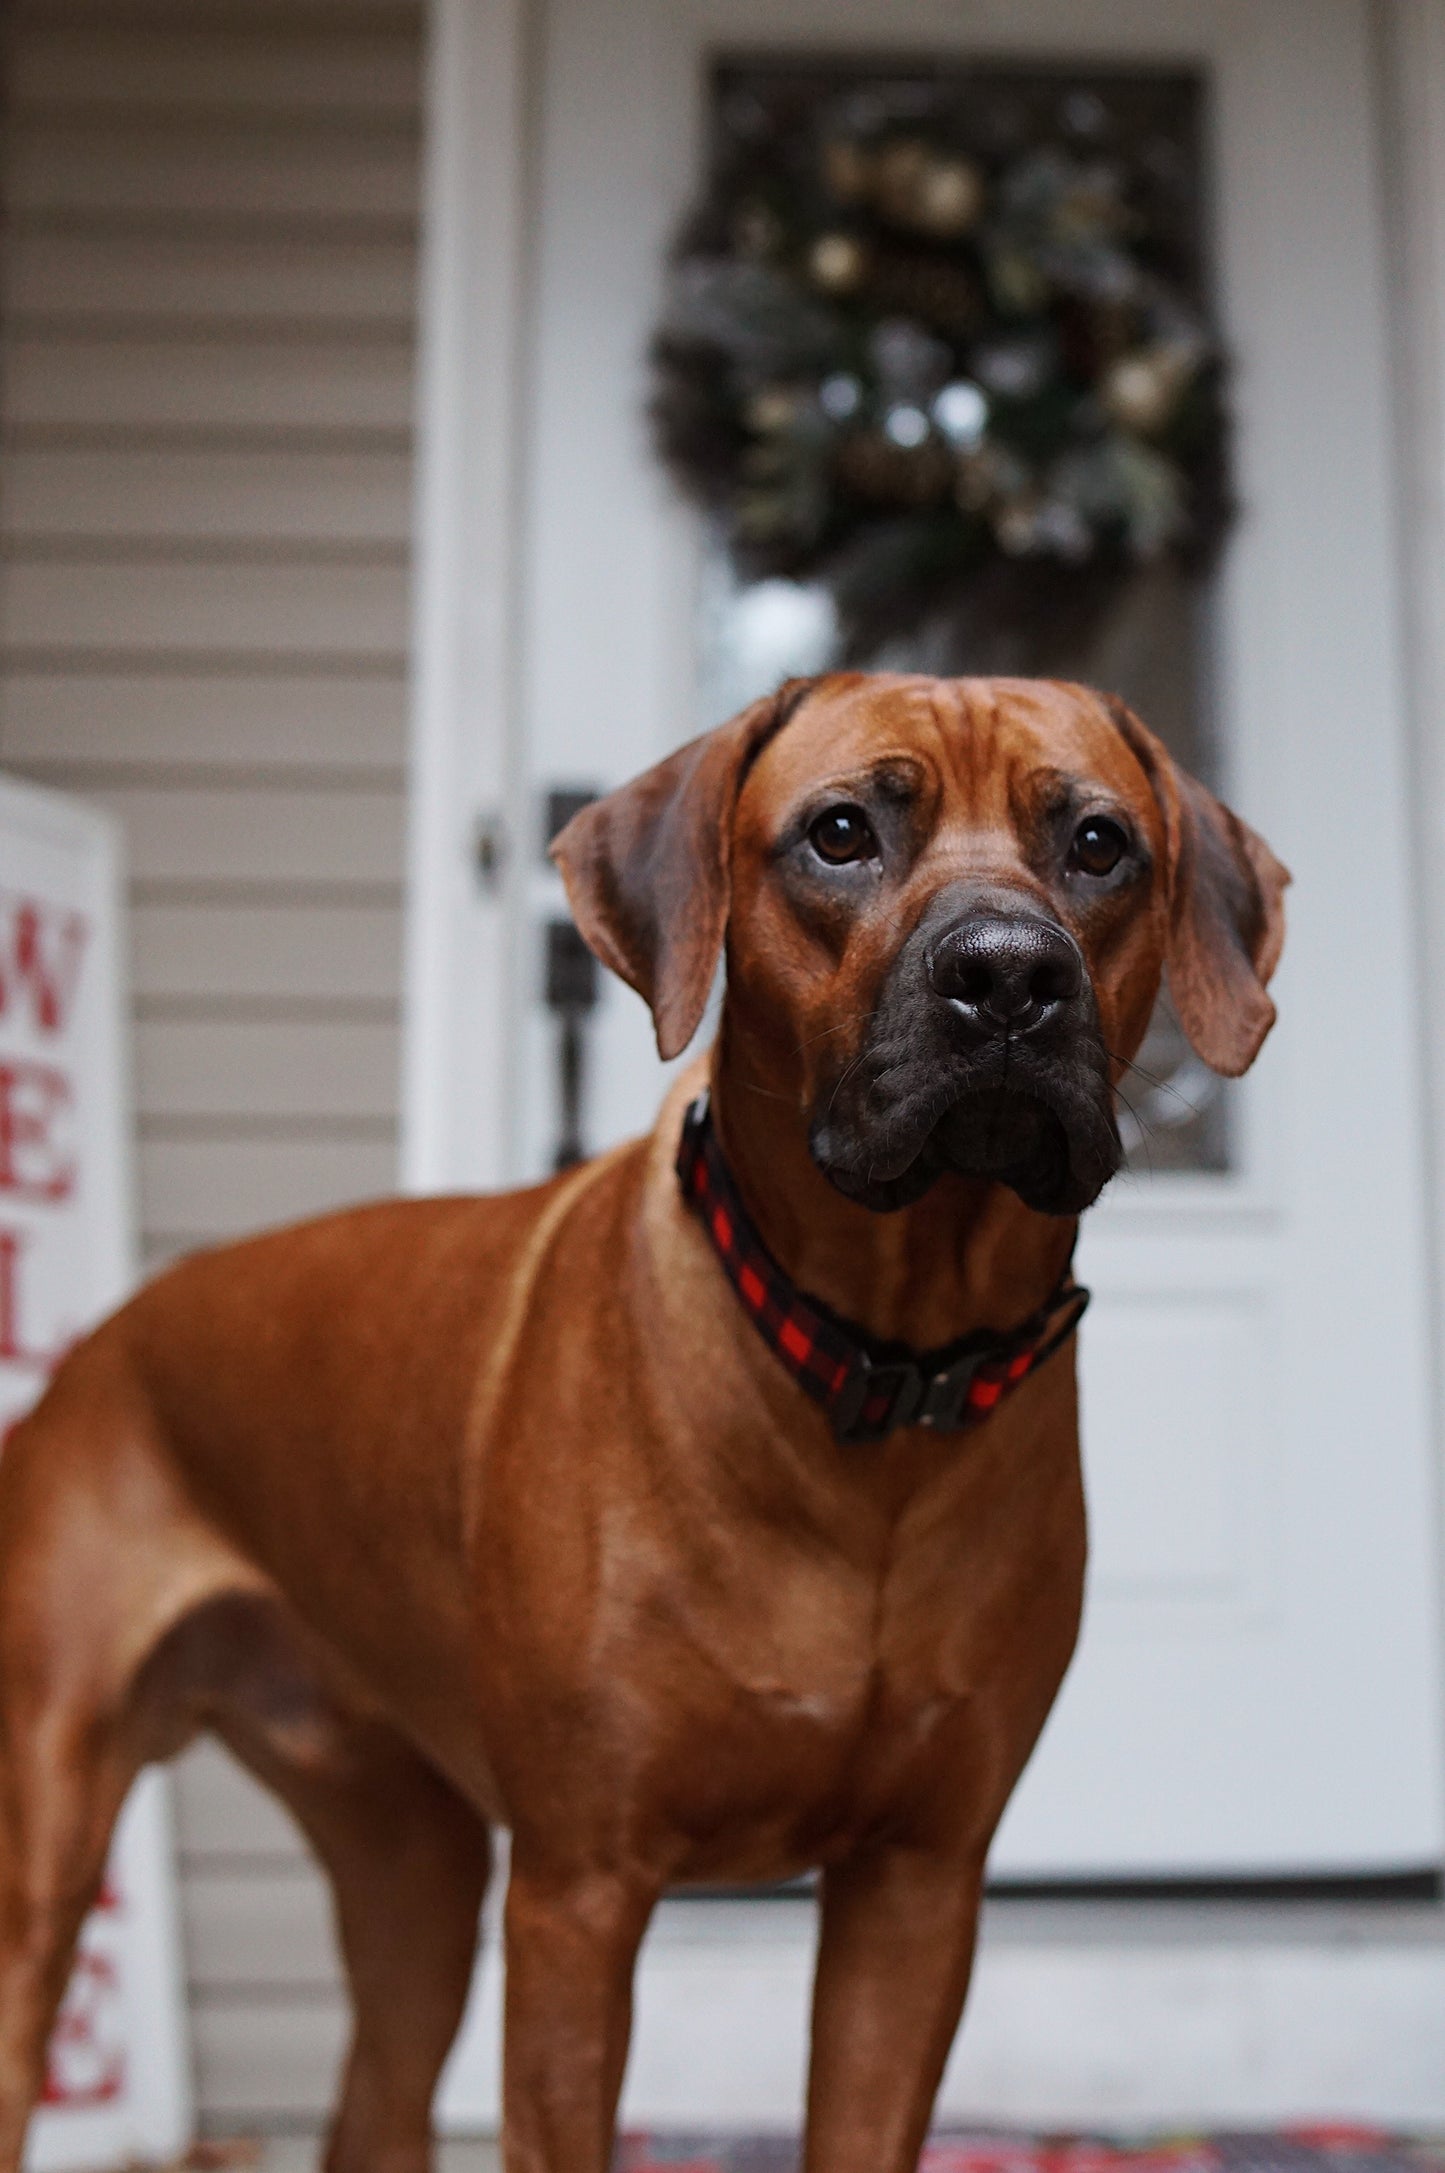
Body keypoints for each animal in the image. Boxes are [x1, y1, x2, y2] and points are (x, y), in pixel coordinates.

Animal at [0, 669, 1286, 2164]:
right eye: (838, 833)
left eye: (1097, 845)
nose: (1011, 975)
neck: (878, 1367)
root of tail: (105, 1338)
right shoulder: (578, 1892)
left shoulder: (917, 1888)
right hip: (51, 1844)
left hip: (414, 1868)